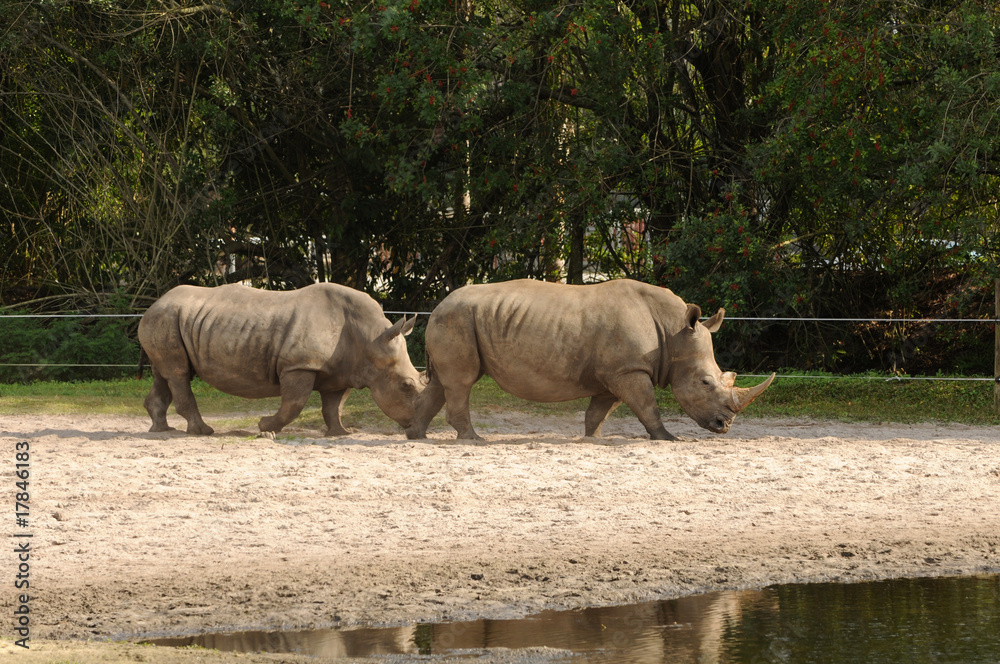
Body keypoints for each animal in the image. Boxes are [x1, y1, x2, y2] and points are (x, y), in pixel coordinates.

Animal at [138, 283, 423, 437]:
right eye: (407, 385)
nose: (416, 426)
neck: (371, 340)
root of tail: (152, 305)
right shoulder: (299, 365)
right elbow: (294, 404)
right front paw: (265, 427)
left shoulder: (341, 371)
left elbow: (334, 406)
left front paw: (342, 433)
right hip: (165, 317)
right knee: (178, 374)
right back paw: (202, 431)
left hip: (169, 319)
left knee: (163, 373)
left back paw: (161, 429)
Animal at [411, 278, 774, 440]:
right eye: (706, 382)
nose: (724, 426)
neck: (673, 332)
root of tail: (436, 307)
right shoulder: (629, 370)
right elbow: (648, 406)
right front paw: (669, 439)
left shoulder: (615, 373)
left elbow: (599, 412)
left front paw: (591, 440)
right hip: (457, 319)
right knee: (461, 381)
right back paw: (474, 440)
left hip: (456, 320)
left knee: (443, 383)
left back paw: (417, 437)